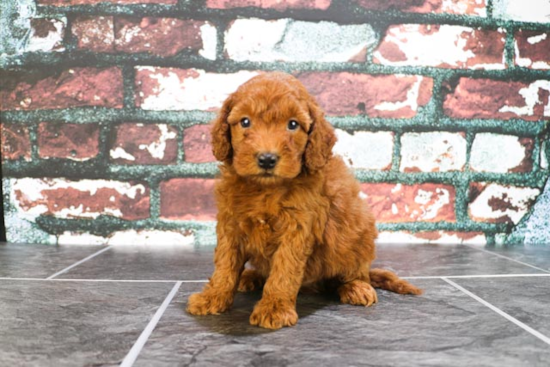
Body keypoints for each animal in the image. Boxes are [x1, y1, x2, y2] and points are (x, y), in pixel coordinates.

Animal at [185, 72, 422, 330]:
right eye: (245, 122)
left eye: (292, 124)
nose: (267, 159)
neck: (265, 189)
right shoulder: (231, 223)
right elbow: (225, 264)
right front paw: (213, 297)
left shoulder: (297, 227)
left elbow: (284, 269)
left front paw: (275, 308)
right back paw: (251, 277)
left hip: (357, 237)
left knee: (352, 274)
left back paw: (356, 287)